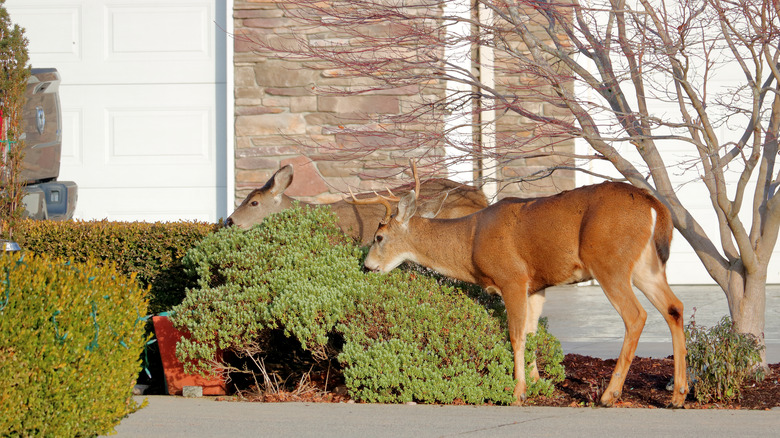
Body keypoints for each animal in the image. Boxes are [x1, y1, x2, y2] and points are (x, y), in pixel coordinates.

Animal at [360, 181, 688, 408]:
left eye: (379, 237)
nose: (367, 265)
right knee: (675, 307)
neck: (469, 242)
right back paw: (678, 395)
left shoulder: (512, 277)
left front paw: (518, 393)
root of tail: (654, 205)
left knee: (636, 315)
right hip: (647, 266)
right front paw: (537, 384)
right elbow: (531, 334)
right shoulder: (536, 286)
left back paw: (610, 395)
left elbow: (515, 335)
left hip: (609, 261)